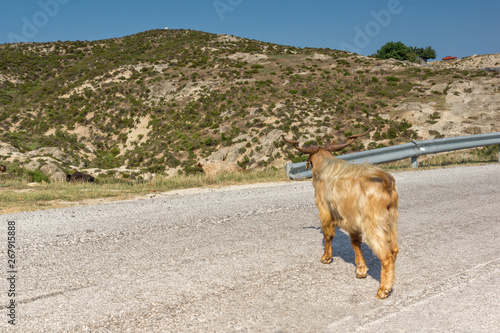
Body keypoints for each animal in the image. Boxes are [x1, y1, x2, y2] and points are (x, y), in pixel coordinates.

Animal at [286, 130, 398, 298]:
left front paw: (326, 257)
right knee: (395, 250)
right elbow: (355, 243)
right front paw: (361, 270)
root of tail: (386, 182)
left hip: (374, 223)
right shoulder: (352, 221)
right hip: (392, 220)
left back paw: (383, 289)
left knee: (386, 256)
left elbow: (328, 235)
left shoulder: (325, 210)